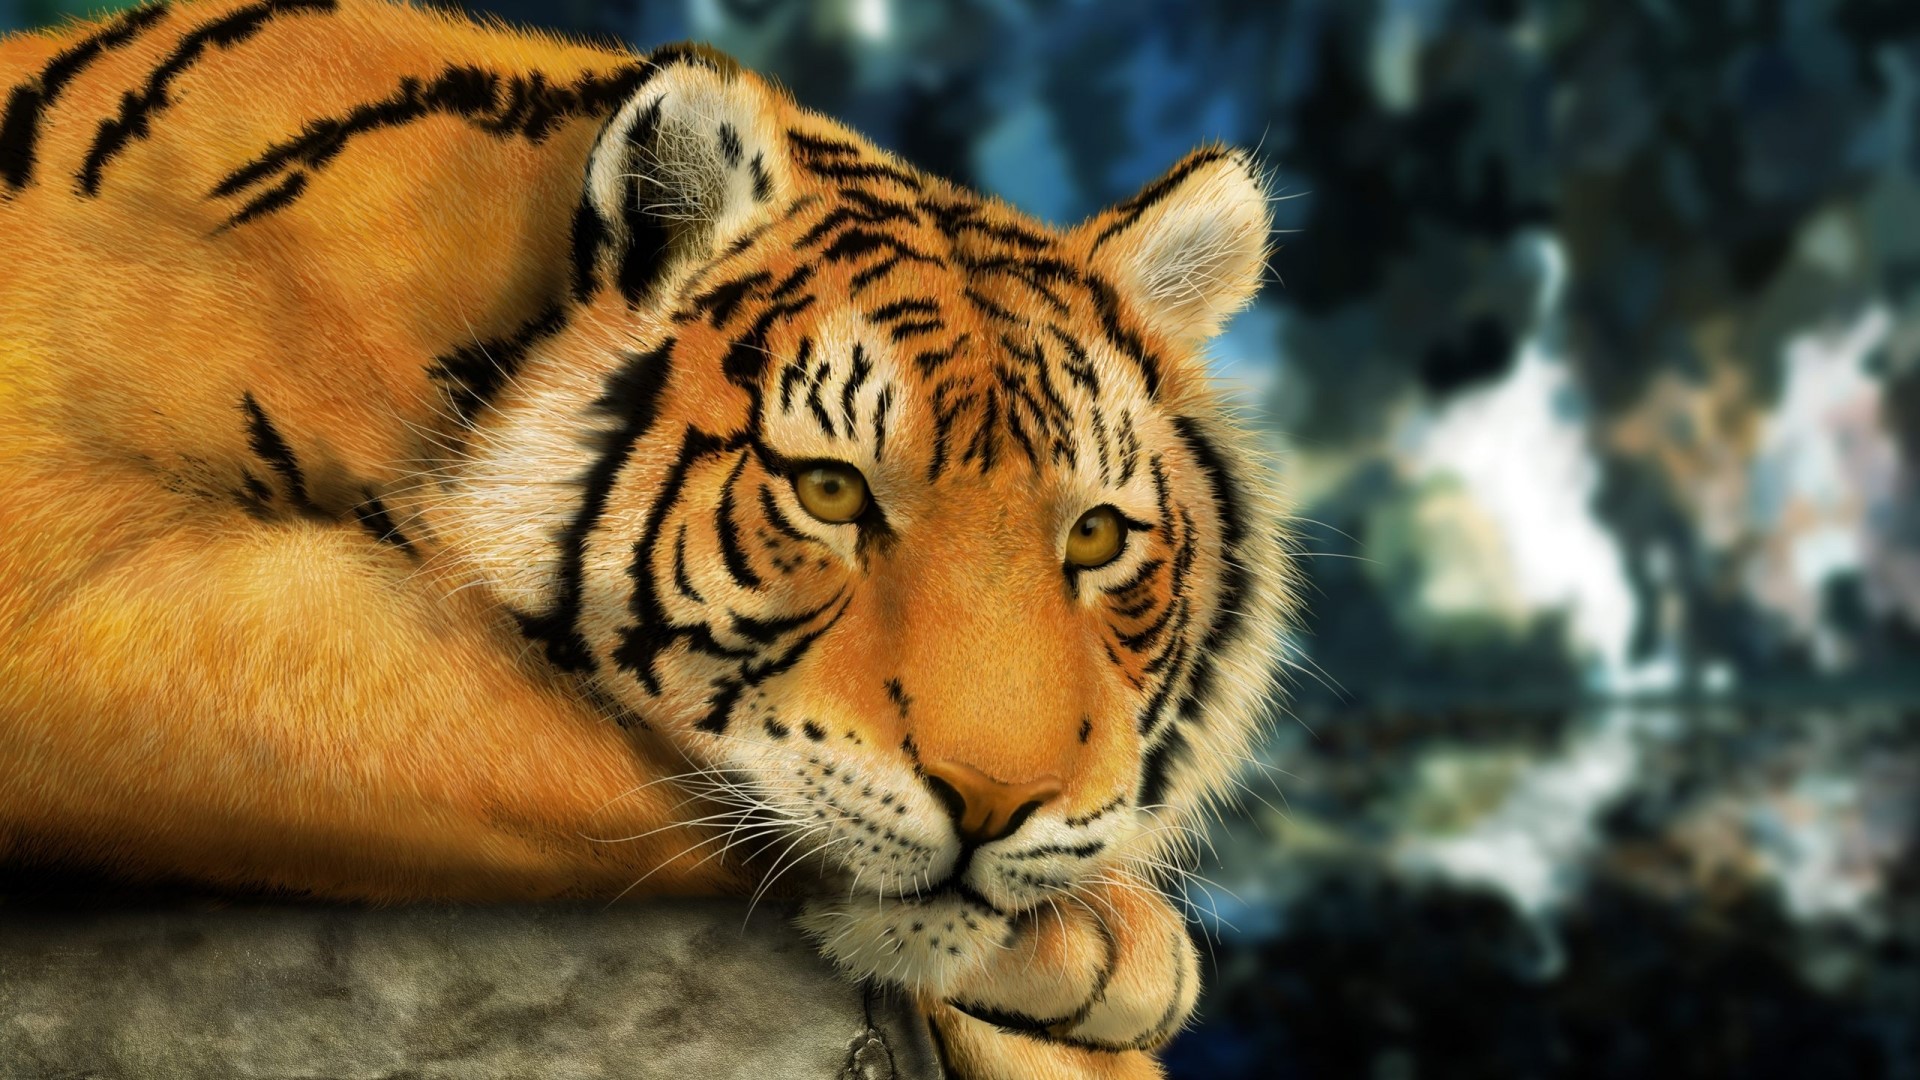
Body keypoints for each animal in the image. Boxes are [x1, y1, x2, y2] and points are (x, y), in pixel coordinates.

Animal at [0, 1, 1294, 1076]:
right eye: (829, 492)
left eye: (1096, 537)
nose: (998, 804)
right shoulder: (77, 579)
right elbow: (592, 752)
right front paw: (1107, 948)